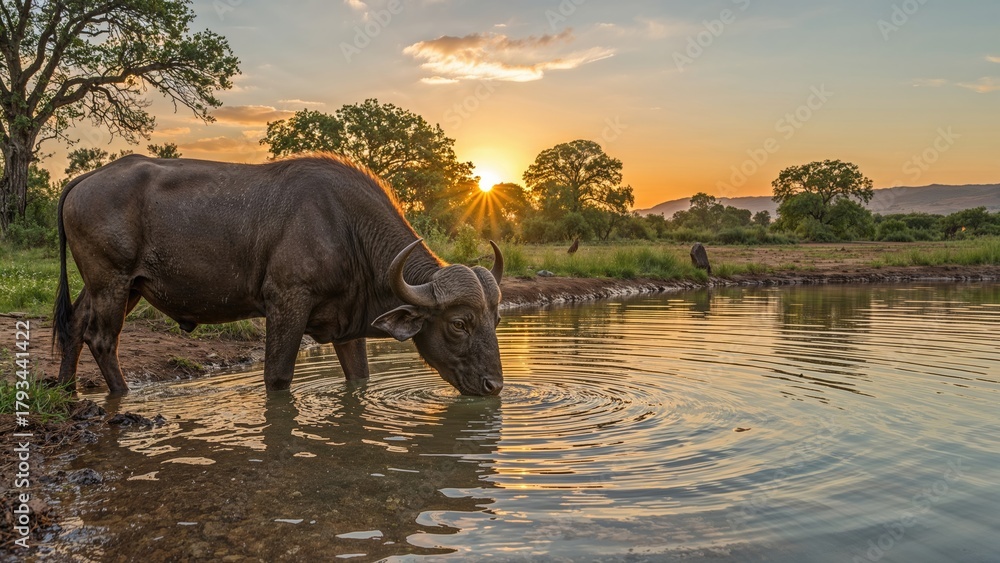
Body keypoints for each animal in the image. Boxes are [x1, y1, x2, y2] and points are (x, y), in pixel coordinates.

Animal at [53, 154, 504, 396]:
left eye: (495, 320)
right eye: (460, 323)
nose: (495, 387)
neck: (344, 224)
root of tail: (84, 180)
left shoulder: (347, 326)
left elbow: (359, 378)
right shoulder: (287, 304)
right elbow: (278, 376)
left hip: (118, 287)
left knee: (74, 326)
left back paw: (65, 389)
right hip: (111, 283)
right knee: (101, 339)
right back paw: (123, 395)